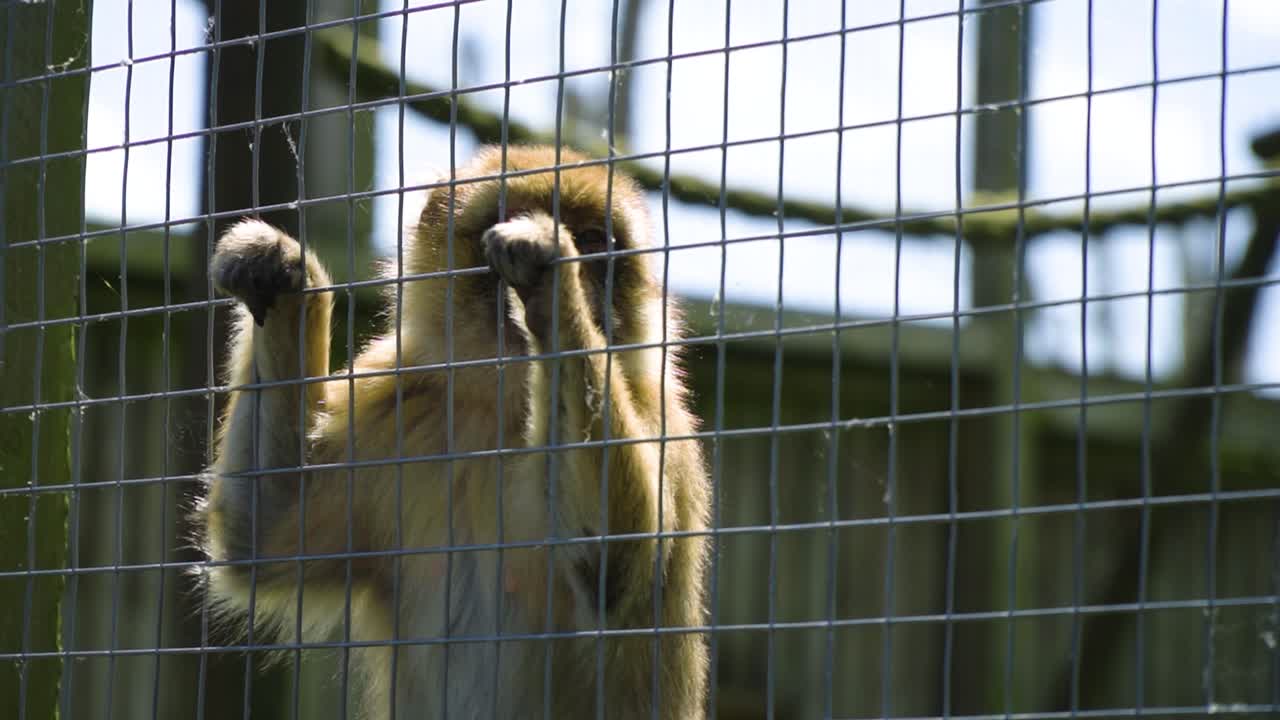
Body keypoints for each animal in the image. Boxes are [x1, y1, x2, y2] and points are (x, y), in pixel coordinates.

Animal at [195, 145, 712, 719]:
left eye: (596, 241)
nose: (583, 266)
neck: (505, 404)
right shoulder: (395, 403)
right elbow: (260, 539)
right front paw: (285, 276)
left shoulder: (660, 416)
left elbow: (613, 565)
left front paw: (553, 286)